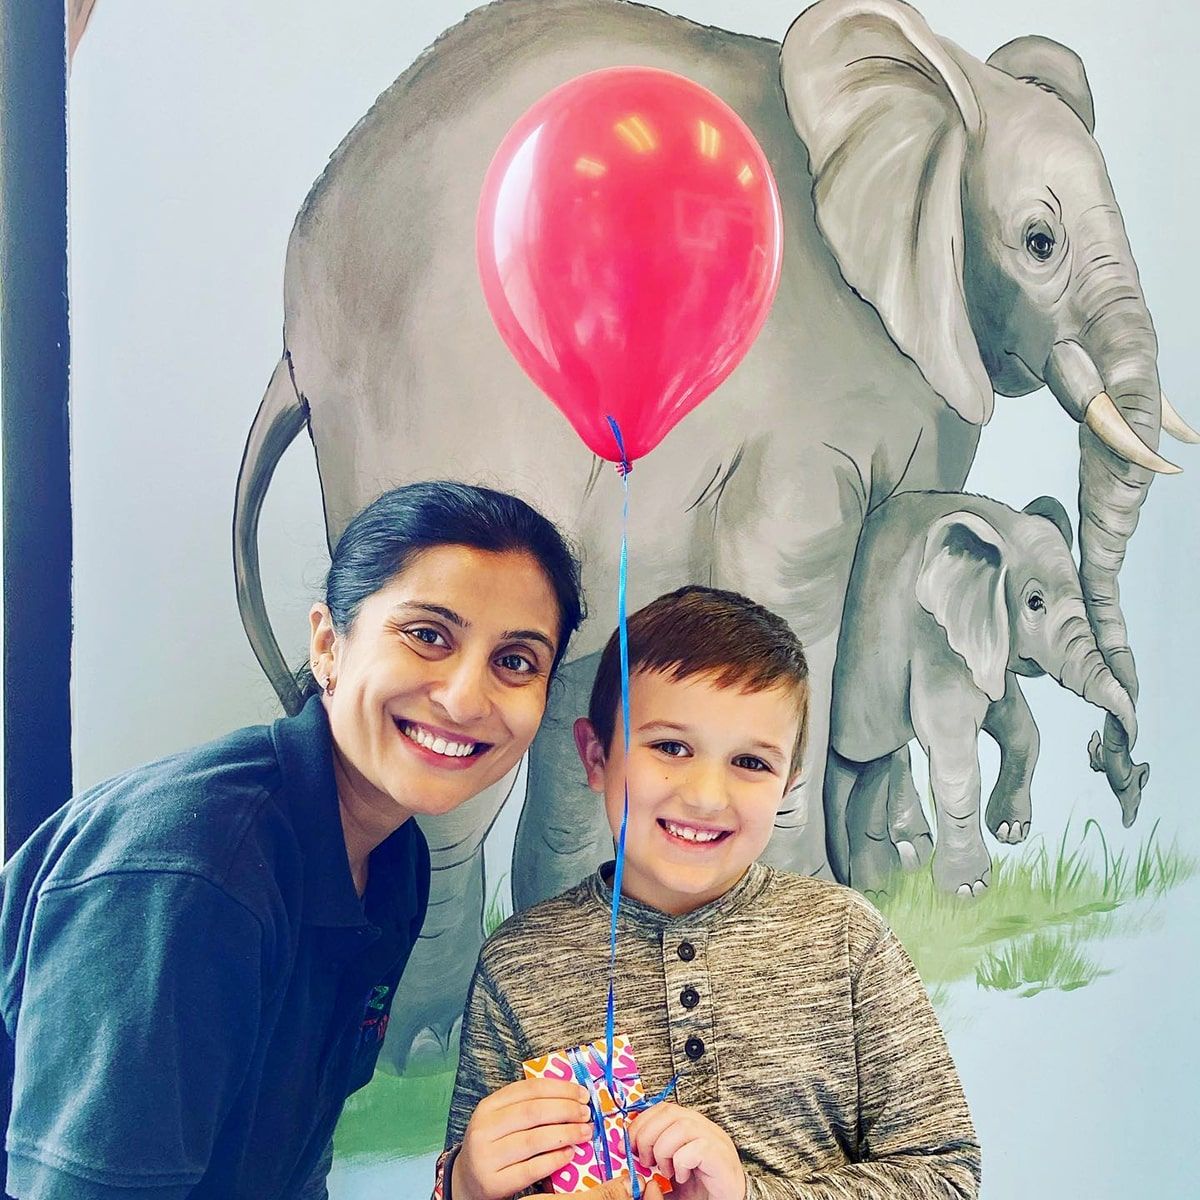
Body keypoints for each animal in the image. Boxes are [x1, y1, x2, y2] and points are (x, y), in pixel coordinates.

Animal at [830, 492, 1137, 897]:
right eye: (1034, 602)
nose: (1097, 751)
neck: (998, 524)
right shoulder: (932, 636)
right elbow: (954, 755)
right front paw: (968, 890)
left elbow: (1015, 720)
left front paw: (1009, 830)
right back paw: (880, 886)